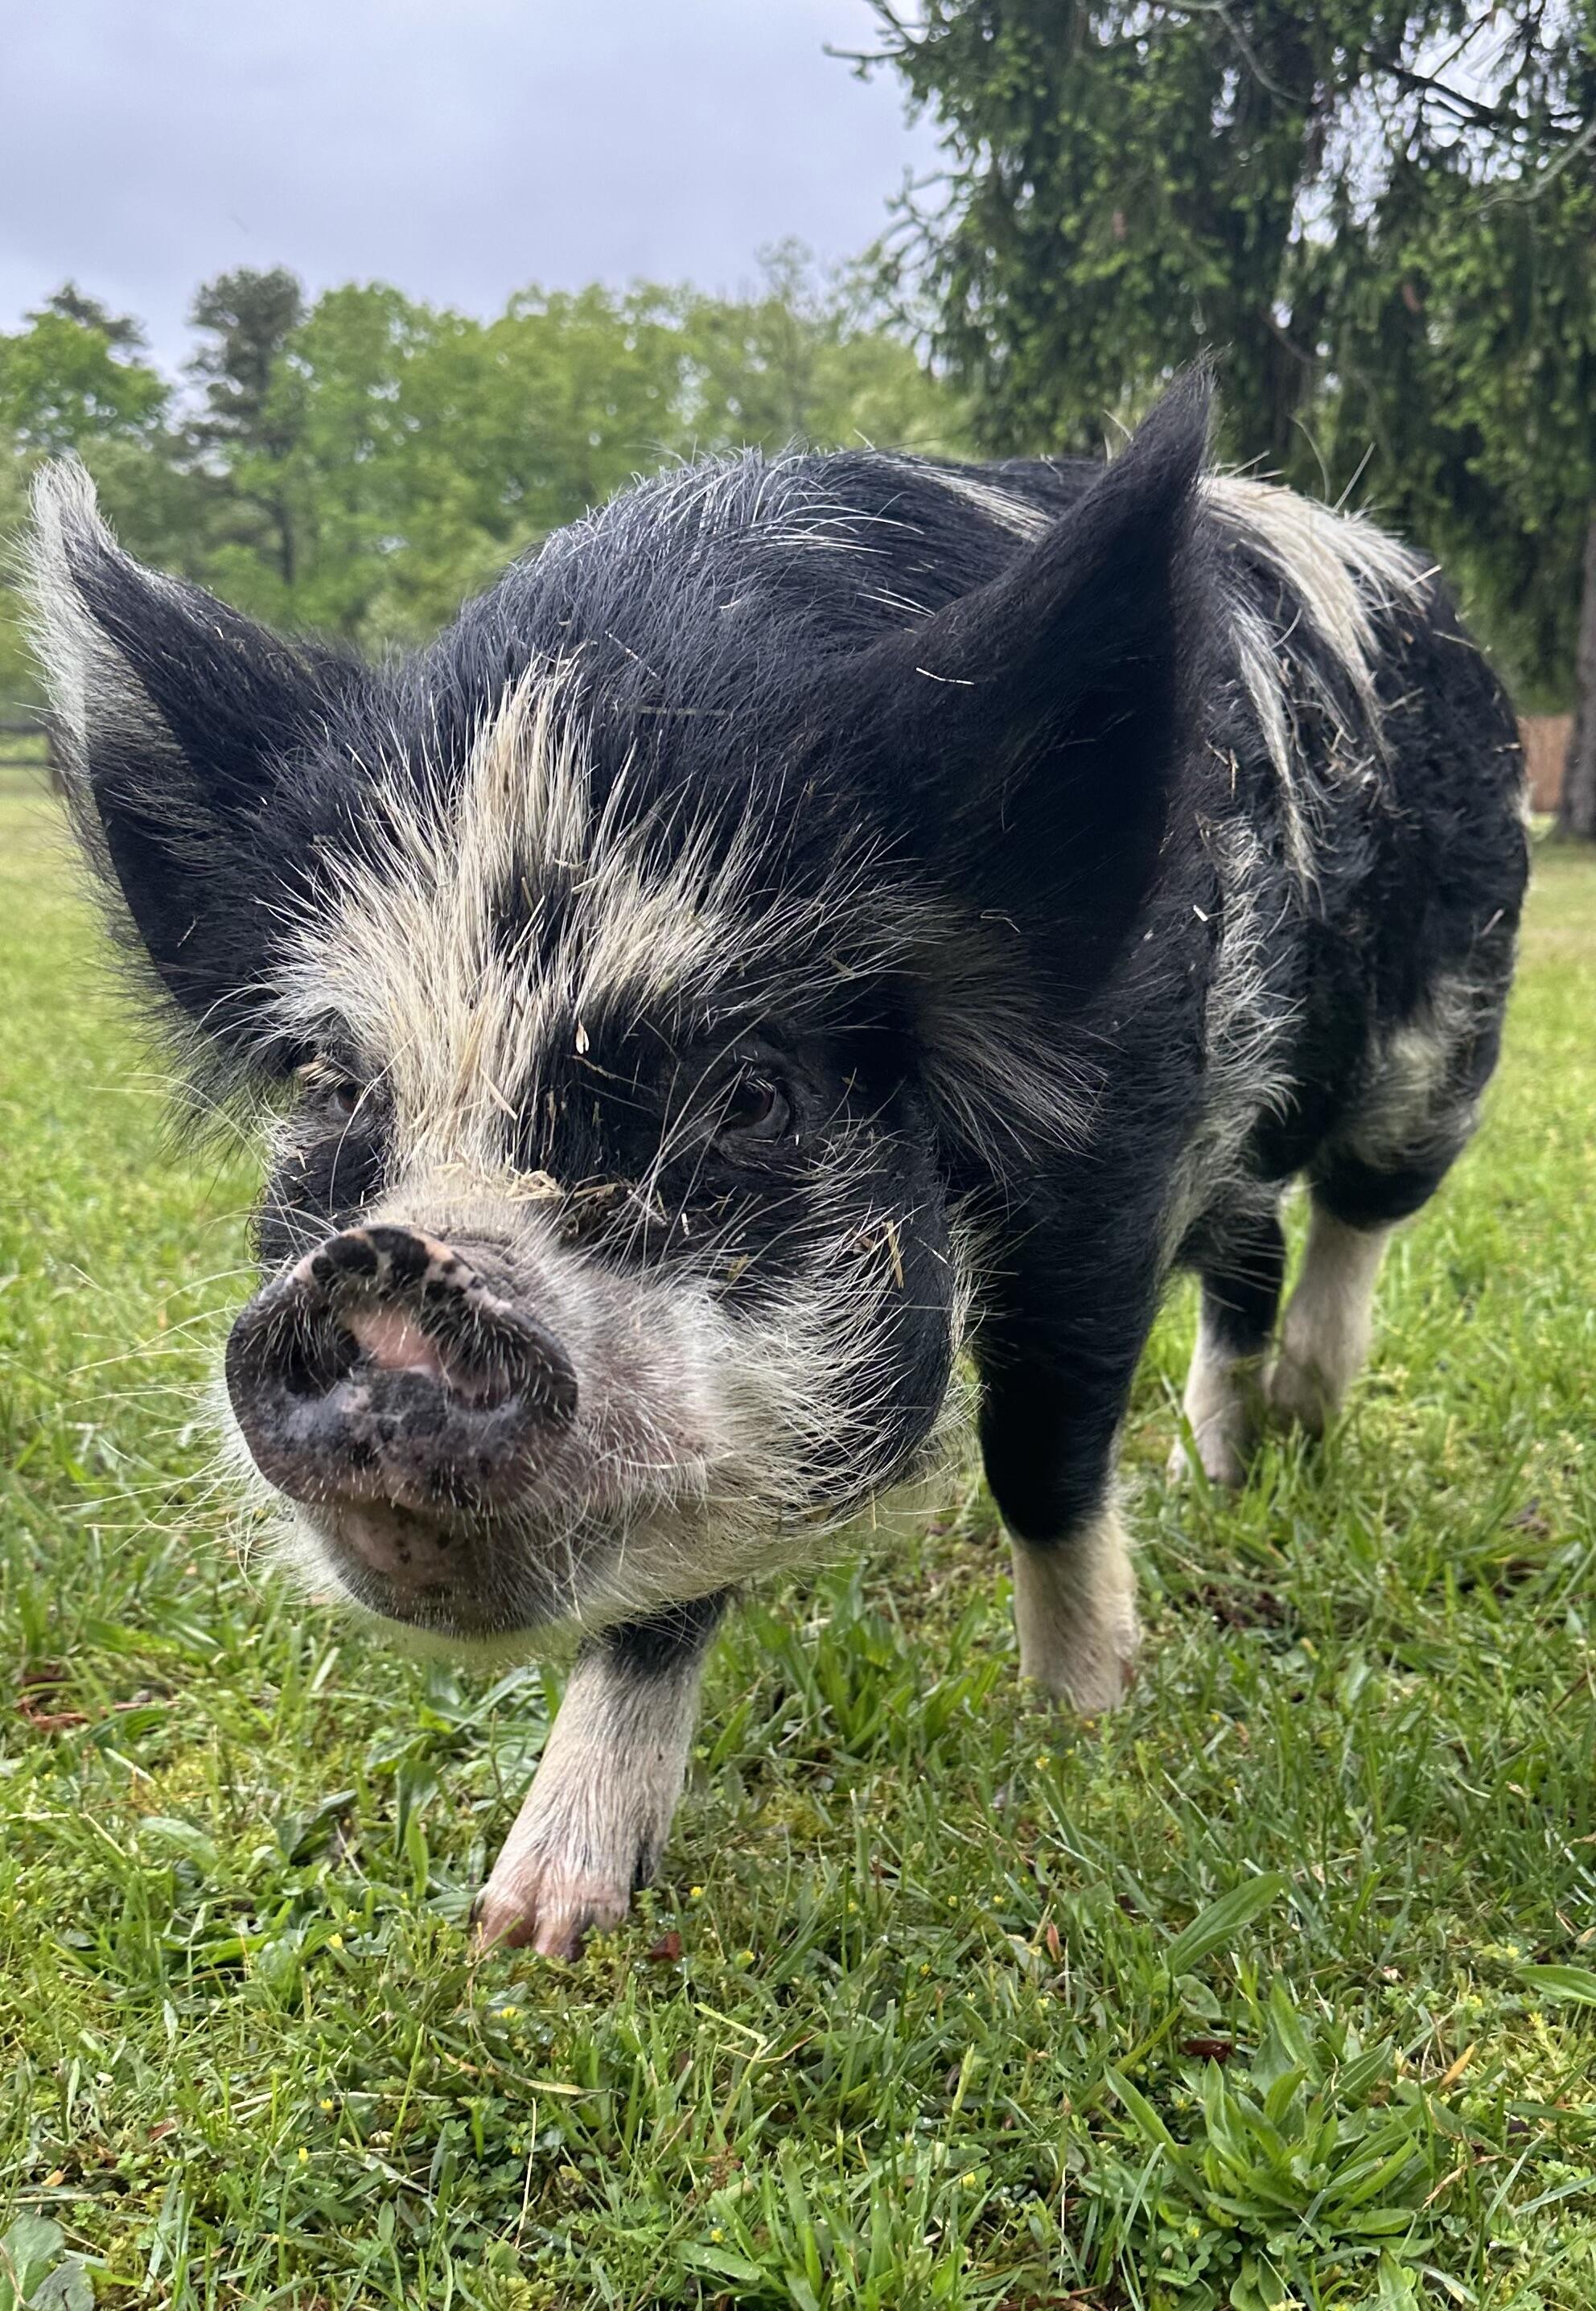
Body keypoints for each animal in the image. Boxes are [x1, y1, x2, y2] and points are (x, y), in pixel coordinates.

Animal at [28, 374, 1527, 1956]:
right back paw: (1214, 1472)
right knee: (1250, 1249)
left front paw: (1083, 1722)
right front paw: (531, 1926)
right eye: (329, 1080)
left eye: (748, 1095)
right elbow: (664, 1578)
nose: (387, 1270)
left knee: (1355, 1210)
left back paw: (1304, 1411)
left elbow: (1042, 1445)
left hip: (1440, 1024)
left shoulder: (1114, 1149)